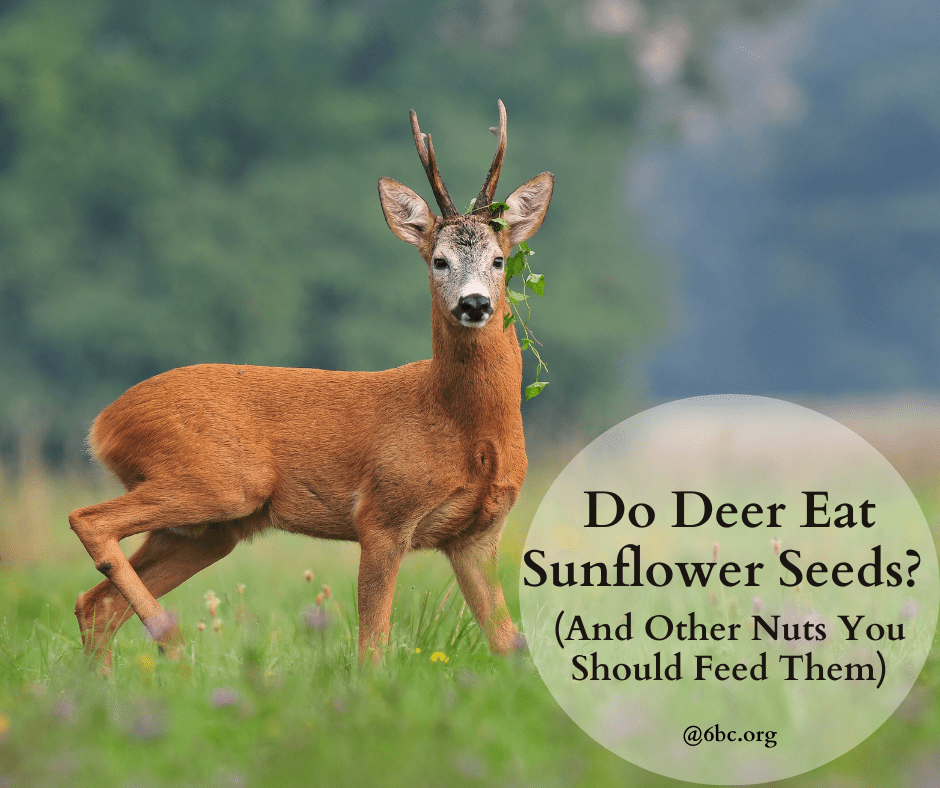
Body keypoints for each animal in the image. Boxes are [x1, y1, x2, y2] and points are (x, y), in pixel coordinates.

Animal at [69, 100, 554, 667]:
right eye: (439, 260)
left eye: (499, 259)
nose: (474, 303)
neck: (466, 430)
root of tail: (104, 424)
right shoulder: (382, 514)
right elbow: (372, 646)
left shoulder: (477, 536)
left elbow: (509, 645)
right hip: (218, 480)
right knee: (88, 521)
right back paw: (173, 641)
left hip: (209, 528)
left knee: (95, 604)